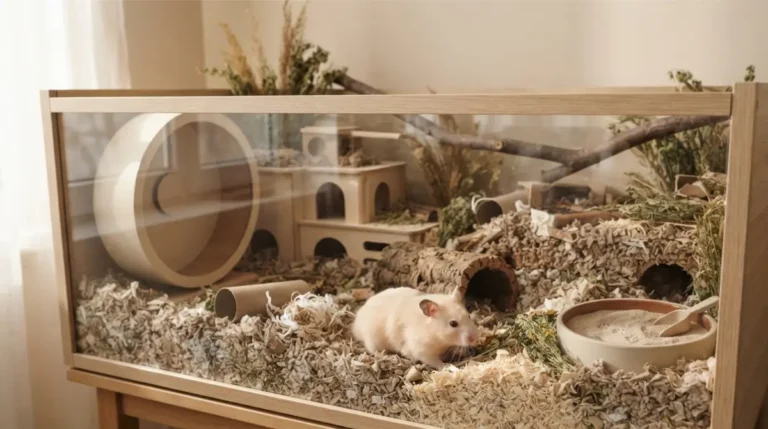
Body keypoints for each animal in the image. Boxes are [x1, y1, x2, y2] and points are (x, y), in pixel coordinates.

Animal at [351, 286, 479, 369]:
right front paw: (446, 366)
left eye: (468, 316)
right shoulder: (421, 351)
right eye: (453, 323)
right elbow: (434, 361)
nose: (474, 339)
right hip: (374, 342)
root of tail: (356, 323)